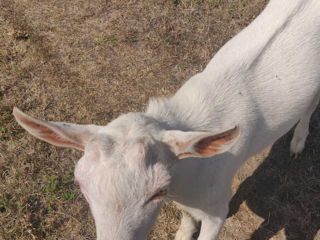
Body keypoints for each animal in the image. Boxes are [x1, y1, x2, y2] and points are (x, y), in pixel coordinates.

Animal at [13, 0, 320, 239]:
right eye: (80, 184)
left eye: (157, 192)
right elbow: (186, 216)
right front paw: (182, 233)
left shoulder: (218, 205)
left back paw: (297, 143)